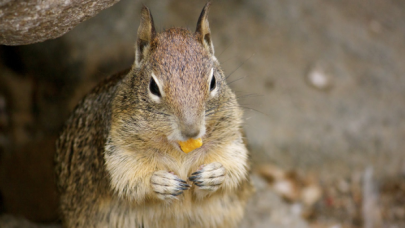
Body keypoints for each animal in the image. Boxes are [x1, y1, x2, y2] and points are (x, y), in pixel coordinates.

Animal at [52, 2, 251, 228]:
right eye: (153, 87)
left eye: (213, 82)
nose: (191, 131)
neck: (179, 151)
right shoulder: (118, 154)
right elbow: (130, 180)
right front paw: (161, 182)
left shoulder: (232, 142)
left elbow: (234, 168)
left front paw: (214, 174)